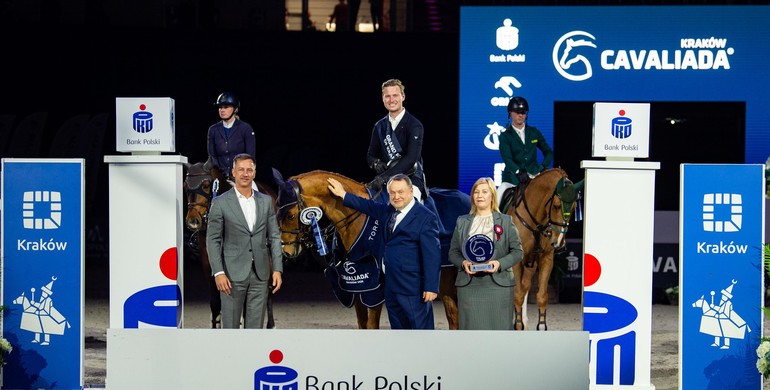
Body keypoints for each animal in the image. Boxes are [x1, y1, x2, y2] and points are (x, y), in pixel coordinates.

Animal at [272, 169, 468, 330]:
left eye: (290, 215)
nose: (286, 252)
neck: (358, 219)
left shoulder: (374, 288)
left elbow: (372, 325)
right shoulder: (357, 286)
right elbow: (362, 325)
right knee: (454, 315)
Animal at [500, 166, 580, 330]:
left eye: (574, 207)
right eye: (556, 206)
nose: (559, 243)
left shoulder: (546, 258)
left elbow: (541, 296)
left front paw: (540, 326)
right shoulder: (516, 262)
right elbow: (517, 294)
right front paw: (517, 325)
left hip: (531, 265)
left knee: (525, 286)